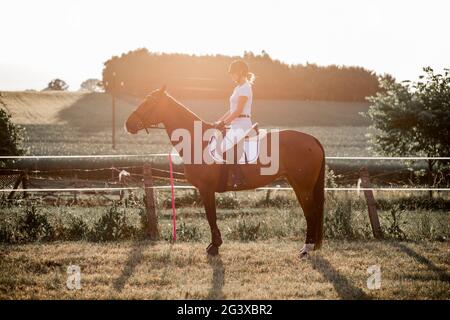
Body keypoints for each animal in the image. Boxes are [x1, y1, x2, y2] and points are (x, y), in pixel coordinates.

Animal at [125, 87, 326, 258]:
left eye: (149, 102)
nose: (128, 124)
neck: (198, 141)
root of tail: (313, 139)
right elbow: (211, 217)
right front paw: (214, 245)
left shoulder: (206, 189)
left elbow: (211, 216)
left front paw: (214, 247)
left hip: (302, 186)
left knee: (311, 213)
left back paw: (306, 249)